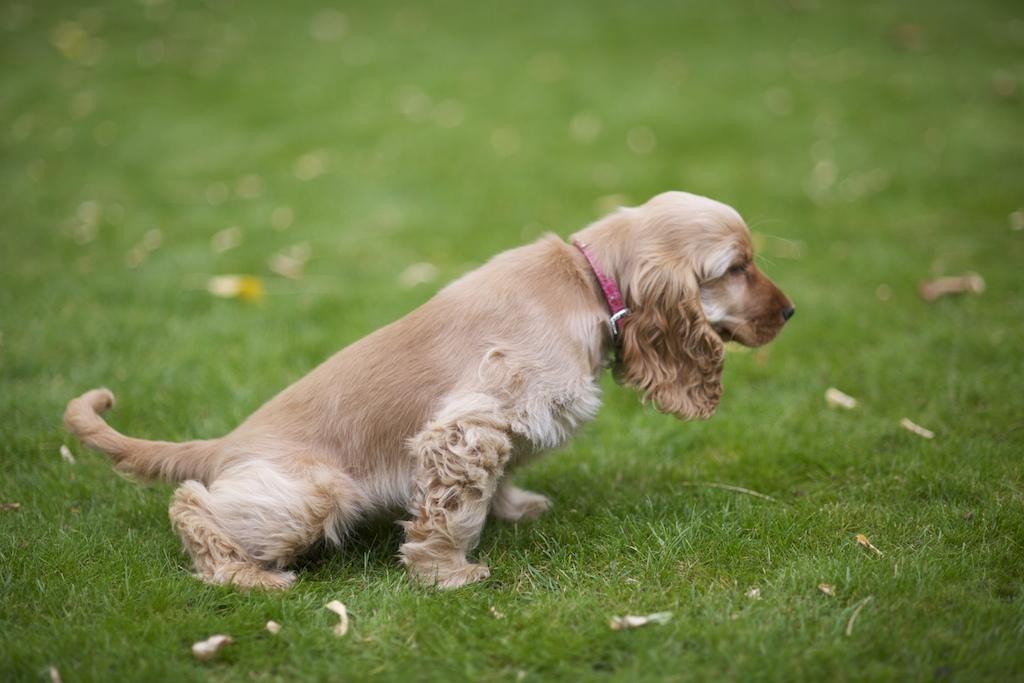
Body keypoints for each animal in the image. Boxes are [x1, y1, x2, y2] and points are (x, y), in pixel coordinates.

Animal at [66, 191, 790, 589]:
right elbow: (451, 509)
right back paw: (247, 576)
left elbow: (498, 480)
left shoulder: (500, 428)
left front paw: (514, 507)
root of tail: (222, 445)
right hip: (314, 492)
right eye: (737, 268)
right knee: (192, 505)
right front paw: (449, 573)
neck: (585, 283)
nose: (790, 313)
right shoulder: (466, 425)